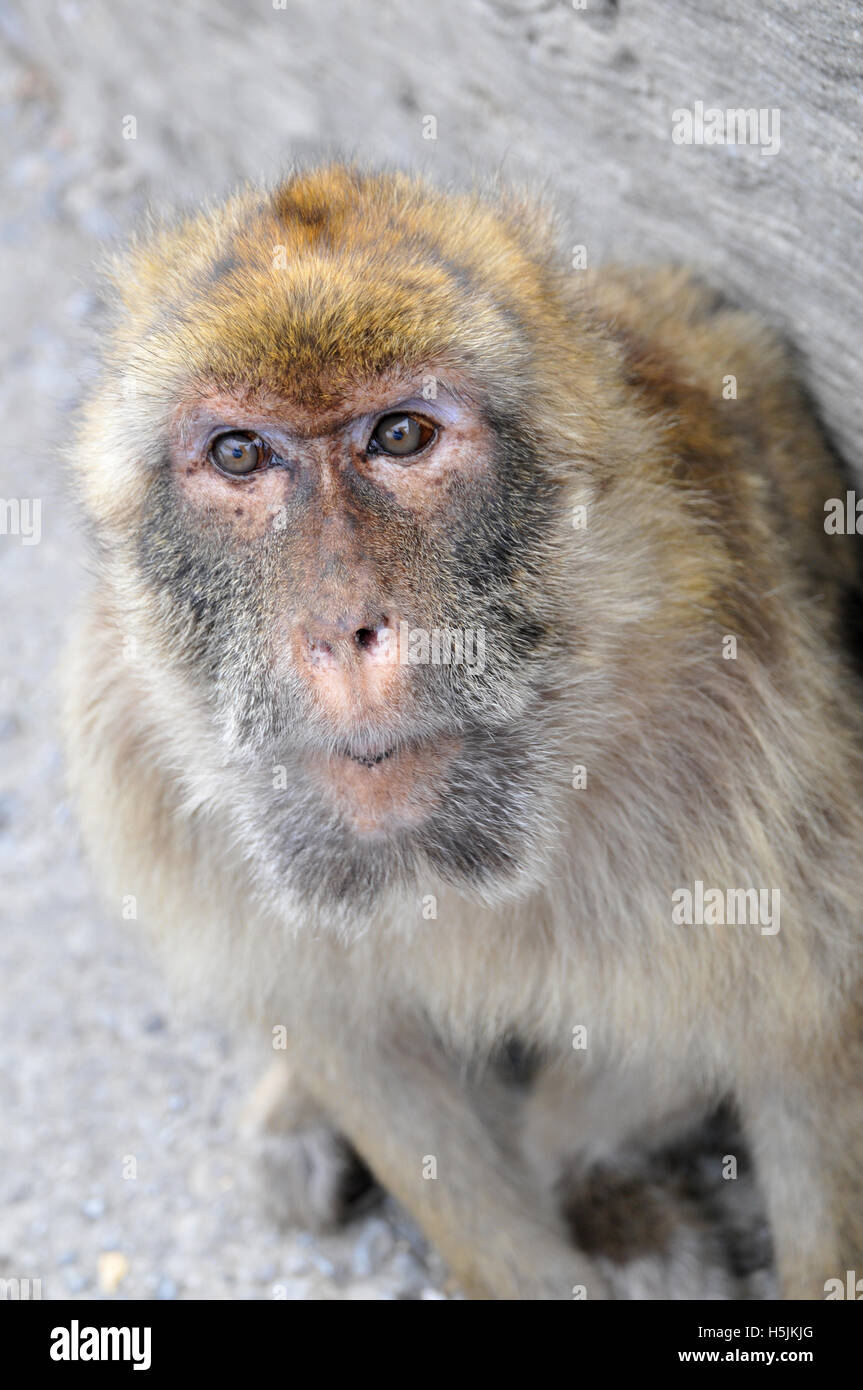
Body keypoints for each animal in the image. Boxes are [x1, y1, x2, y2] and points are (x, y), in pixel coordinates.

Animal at [62, 163, 863, 1300]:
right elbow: (356, 1052)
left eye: (400, 435)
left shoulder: (752, 765)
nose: (339, 629)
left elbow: (802, 1050)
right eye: (239, 453)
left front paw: (583, 1166)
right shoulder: (140, 761)